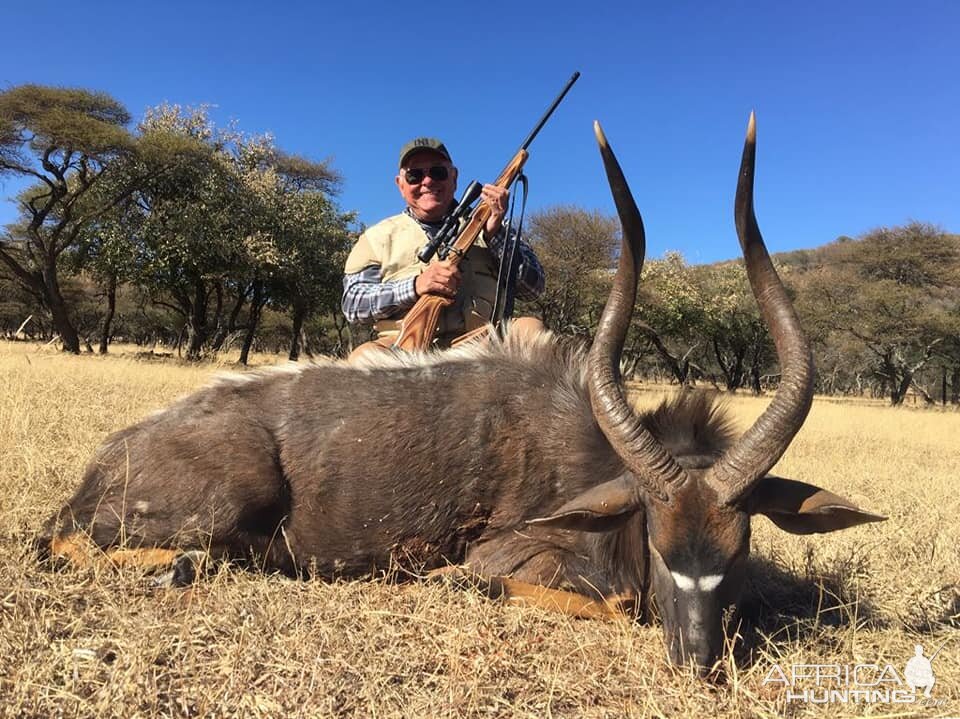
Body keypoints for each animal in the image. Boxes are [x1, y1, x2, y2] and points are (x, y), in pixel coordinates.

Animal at [37, 115, 884, 672]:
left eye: (738, 548)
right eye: (657, 540)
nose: (698, 660)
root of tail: (103, 464)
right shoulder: (503, 557)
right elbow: (596, 597)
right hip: (223, 503)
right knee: (75, 545)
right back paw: (176, 566)